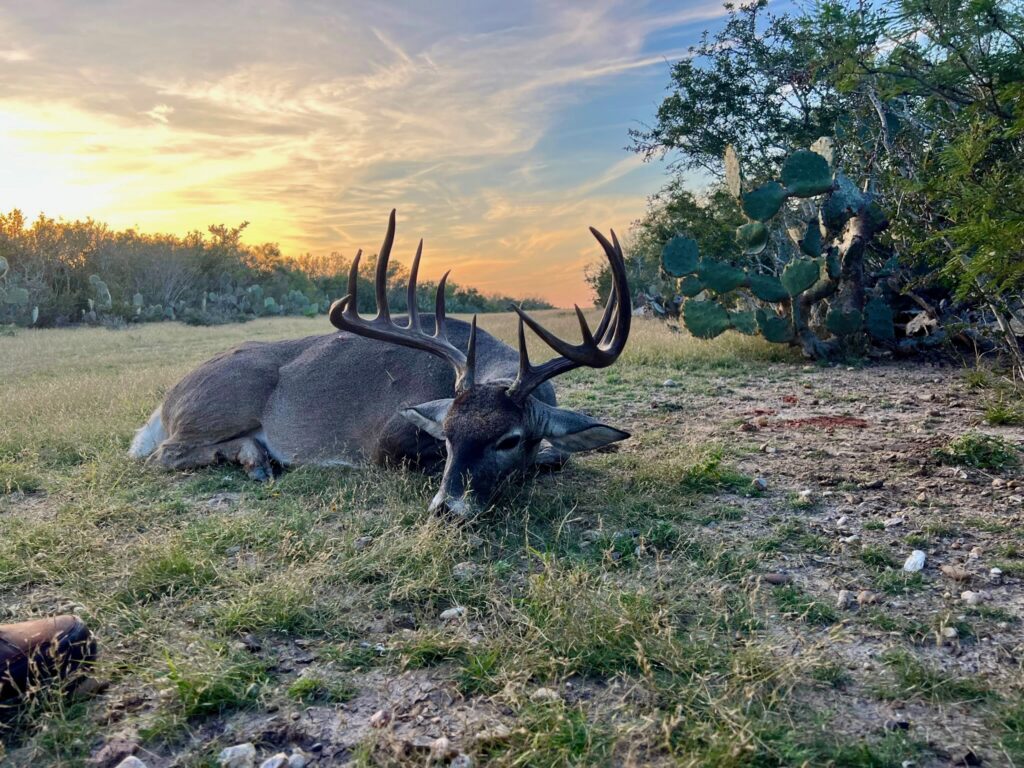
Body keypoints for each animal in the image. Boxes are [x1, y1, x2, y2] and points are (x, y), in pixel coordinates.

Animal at [129, 211, 631, 515]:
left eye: (508, 439)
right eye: (447, 435)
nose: (446, 509)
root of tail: (166, 401)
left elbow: (557, 455)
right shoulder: (383, 443)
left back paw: (257, 459)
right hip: (223, 403)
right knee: (163, 454)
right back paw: (254, 459)